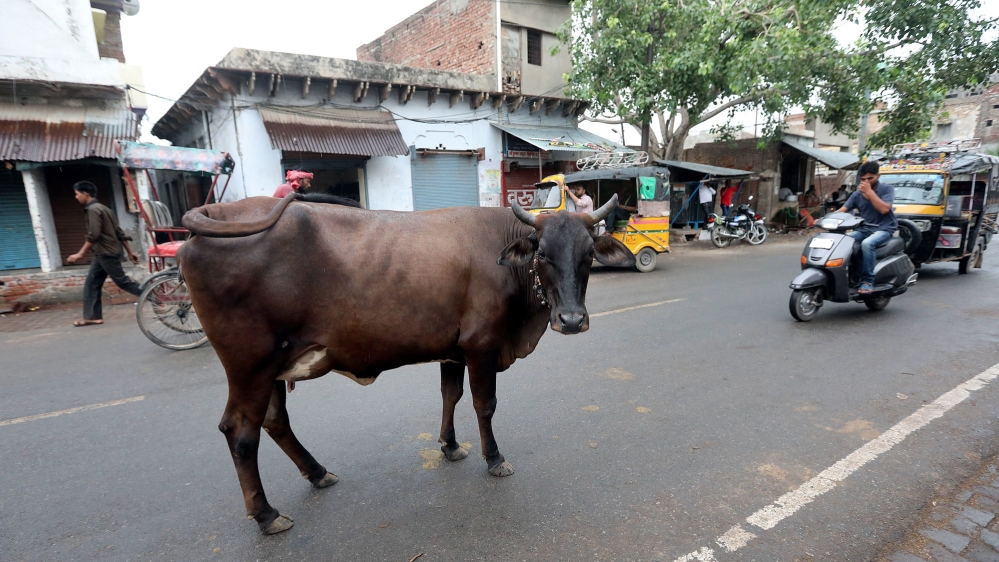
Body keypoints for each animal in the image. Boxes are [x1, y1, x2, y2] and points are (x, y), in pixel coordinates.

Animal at [178, 192, 634, 534]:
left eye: (589, 254)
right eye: (543, 253)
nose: (571, 320)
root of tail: (221, 212)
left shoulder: (453, 348)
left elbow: (450, 395)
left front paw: (450, 446)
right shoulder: (481, 346)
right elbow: (483, 405)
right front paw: (494, 458)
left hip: (273, 365)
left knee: (274, 422)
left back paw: (317, 472)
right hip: (249, 365)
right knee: (240, 432)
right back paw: (266, 514)